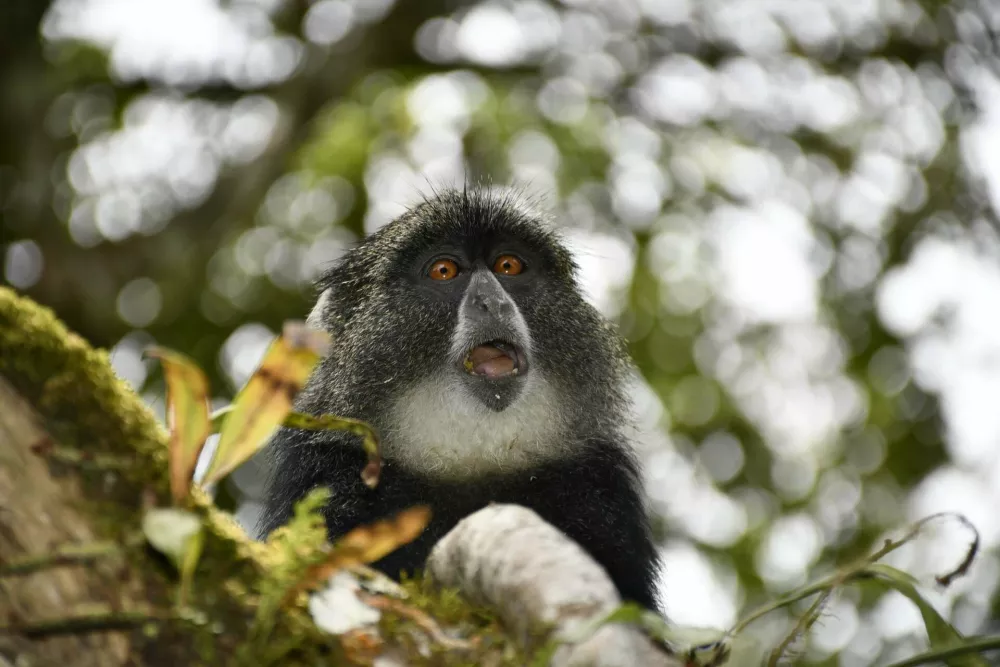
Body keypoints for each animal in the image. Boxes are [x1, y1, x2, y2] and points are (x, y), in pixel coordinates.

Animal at [258, 187, 664, 612]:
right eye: (444, 271)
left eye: (508, 265)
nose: (493, 302)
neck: (470, 463)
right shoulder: (328, 474)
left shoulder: (599, 485)